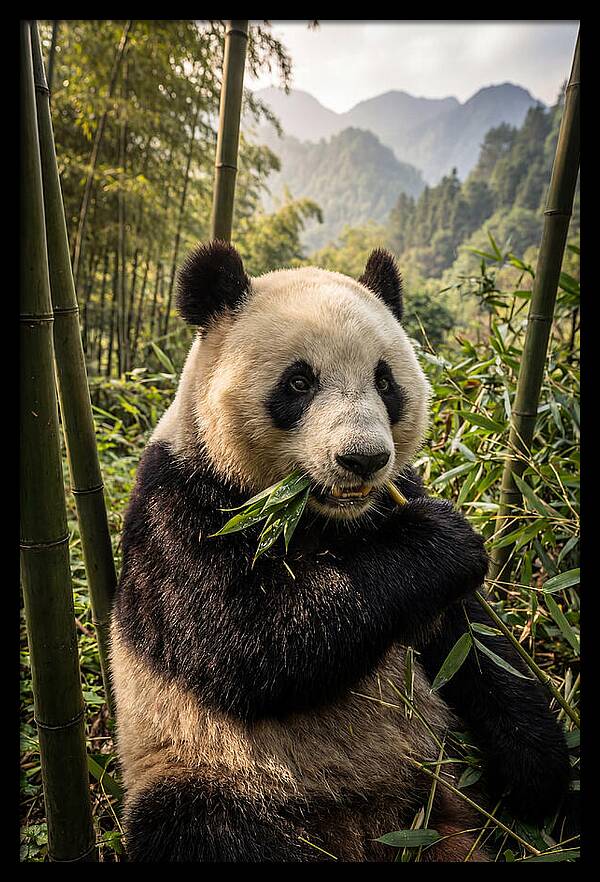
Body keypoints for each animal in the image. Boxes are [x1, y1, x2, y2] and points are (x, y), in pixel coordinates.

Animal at [110, 240, 570, 862]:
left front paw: (537, 771)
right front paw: (443, 542)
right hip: (210, 768)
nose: (363, 459)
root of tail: (370, 828)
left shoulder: (396, 500)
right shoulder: (180, 503)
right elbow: (243, 640)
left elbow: (474, 644)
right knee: (203, 829)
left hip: (440, 771)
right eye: (299, 383)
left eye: (385, 382)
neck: (319, 515)